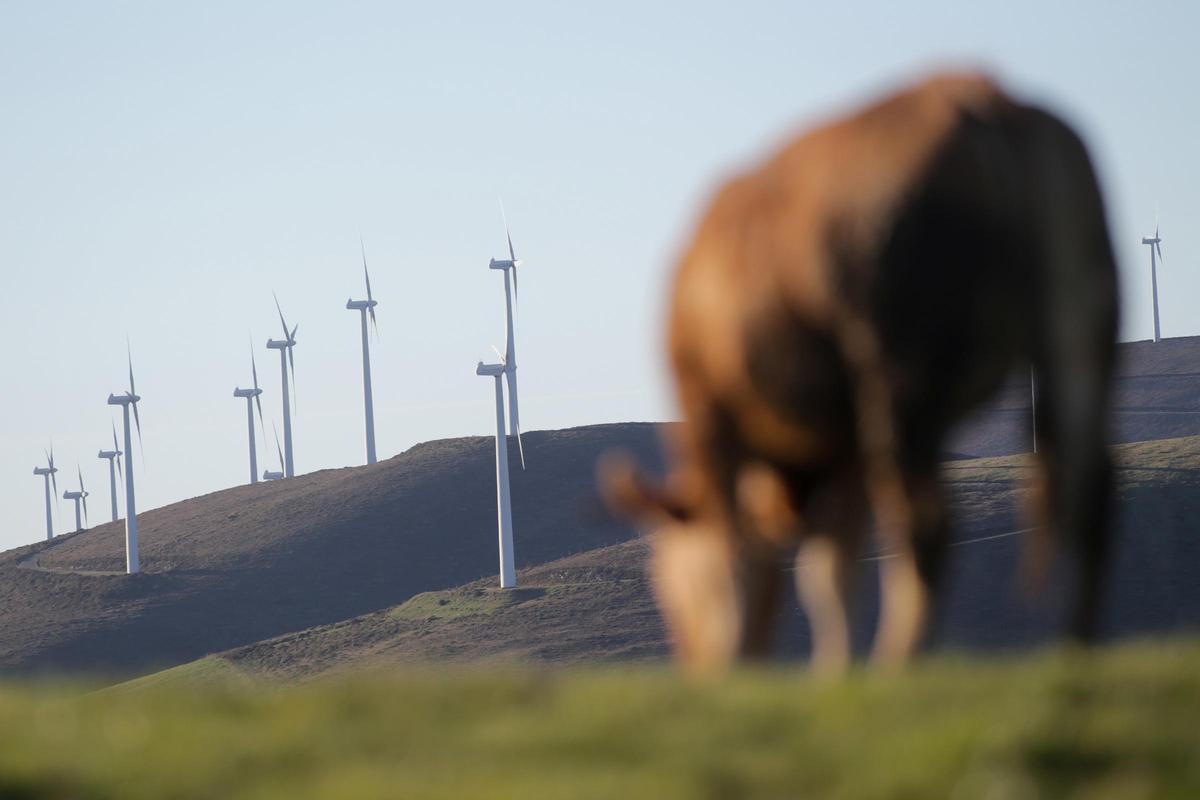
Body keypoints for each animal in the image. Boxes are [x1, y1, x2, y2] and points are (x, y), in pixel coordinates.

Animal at [602, 71, 1119, 676]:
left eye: (665, 581)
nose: (696, 669)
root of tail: (979, 92)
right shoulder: (844, 443)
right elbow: (830, 570)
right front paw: (833, 673)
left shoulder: (710, 411)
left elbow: (743, 556)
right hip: (1080, 335)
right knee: (1089, 492)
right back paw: (1076, 651)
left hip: (902, 377)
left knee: (926, 522)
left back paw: (901, 661)